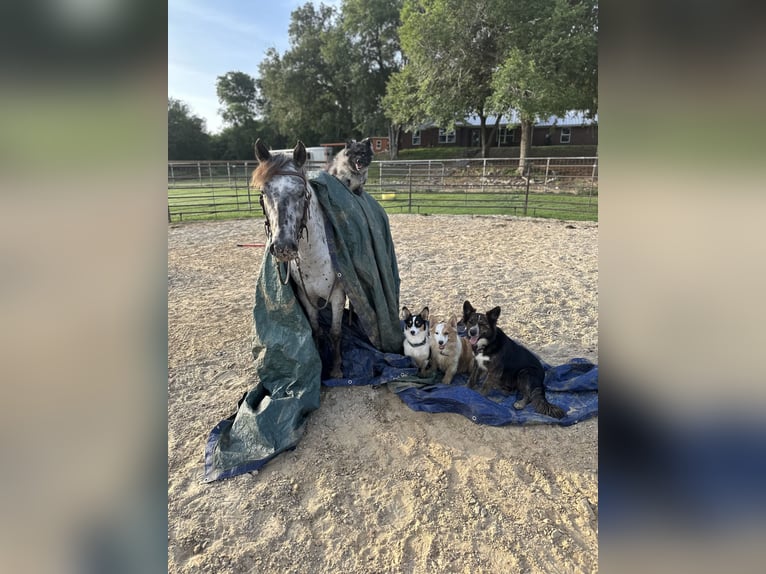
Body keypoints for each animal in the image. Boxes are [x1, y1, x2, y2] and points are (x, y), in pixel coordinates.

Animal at [254, 140, 346, 380]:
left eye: (301, 192)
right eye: (264, 192)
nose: (284, 247)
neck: (314, 260)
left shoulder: (338, 295)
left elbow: (335, 332)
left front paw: (336, 369)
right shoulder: (306, 297)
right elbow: (316, 329)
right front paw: (320, 366)